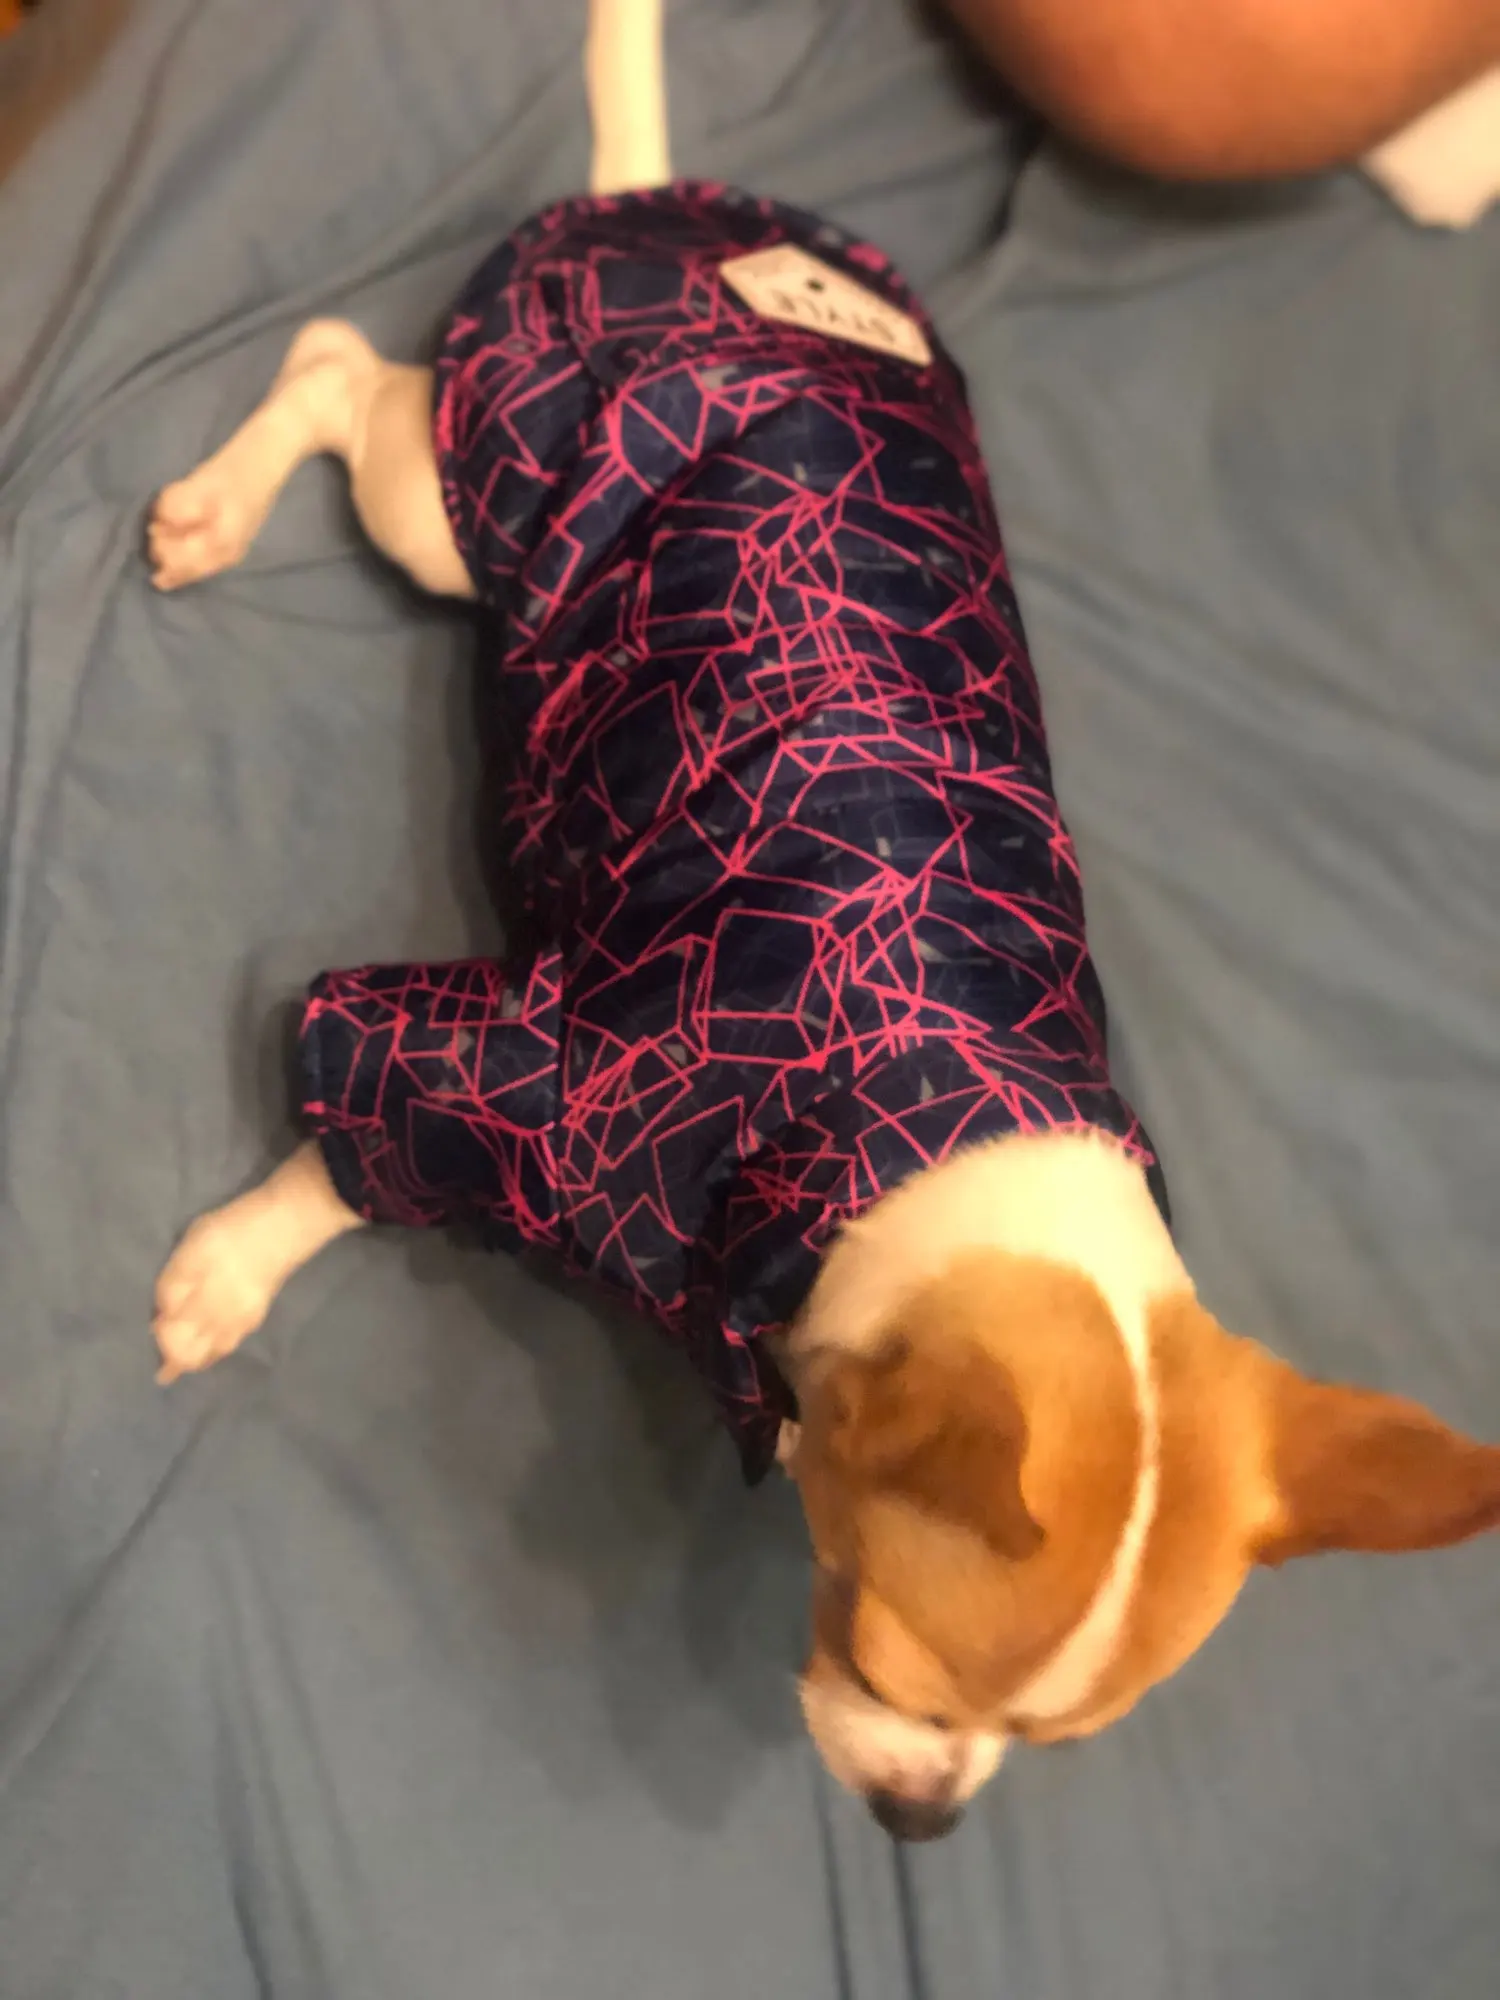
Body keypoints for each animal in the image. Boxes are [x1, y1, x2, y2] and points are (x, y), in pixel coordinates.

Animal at [146, 0, 1500, 1847]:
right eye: (876, 1653)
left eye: (1047, 1749)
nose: (922, 1825)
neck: (928, 1118)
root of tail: (667, 201)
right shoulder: (528, 1073)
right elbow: (340, 1166)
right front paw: (234, 1266)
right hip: (462, 503)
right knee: (340, 366)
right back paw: (219, 507)